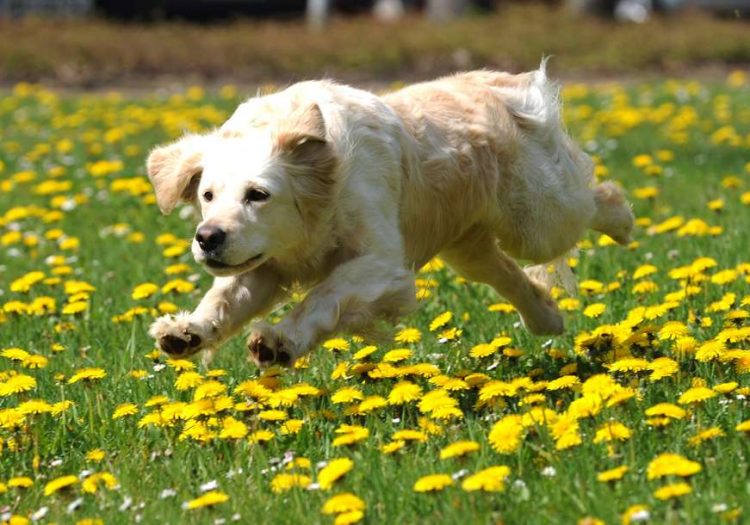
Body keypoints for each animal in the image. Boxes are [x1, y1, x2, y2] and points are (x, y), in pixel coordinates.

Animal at [145, 63, 636, 368]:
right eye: (207, 195)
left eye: (258, 195)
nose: (207, 238)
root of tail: (499, 83)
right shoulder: (267, 263)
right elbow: (224, 298)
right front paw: (186, 331)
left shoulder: (381, 262)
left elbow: (324, 295)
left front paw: (280, 341)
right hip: (469, 249)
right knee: (512, 277)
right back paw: (547, 318)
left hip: (536, 220)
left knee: (591, 201)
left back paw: (624, 220)